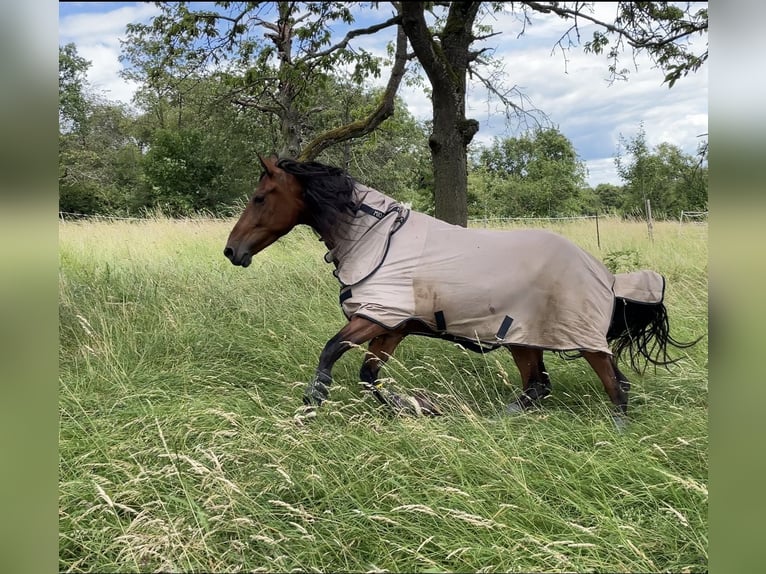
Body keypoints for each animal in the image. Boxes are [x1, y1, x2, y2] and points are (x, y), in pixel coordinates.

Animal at [224, 155, 704, 430]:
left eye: (261, 197)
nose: (233, 251)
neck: (377, 239)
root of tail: (606, 276)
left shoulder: (375, 316)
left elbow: (331, 354)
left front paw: (312, 404)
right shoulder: (392, 327)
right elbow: (368, 377)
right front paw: (414, 408)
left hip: (578, 342)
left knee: (614, 385)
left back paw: (615, 429)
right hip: (523, 339)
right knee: (537, 387)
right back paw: (501, 420)